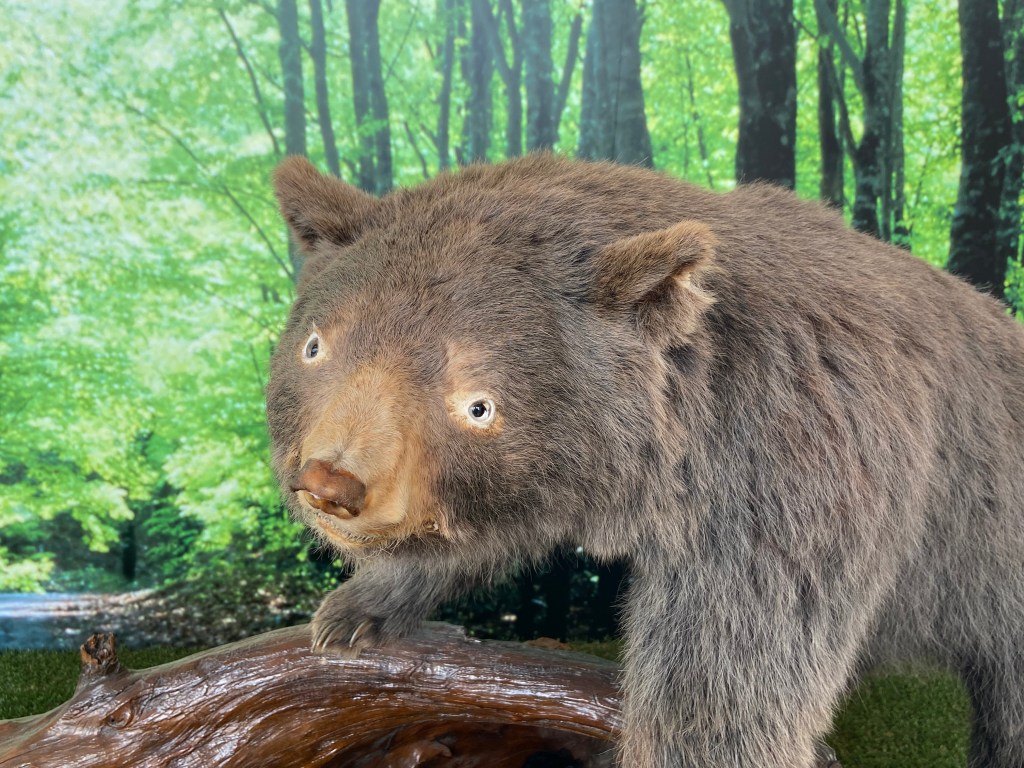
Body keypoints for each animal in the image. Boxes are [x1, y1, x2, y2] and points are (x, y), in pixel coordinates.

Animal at [266, 153, 1024, 768]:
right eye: (315, 346)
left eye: (478, 406)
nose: (332, 484)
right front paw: (360, 608)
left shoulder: (792, 482)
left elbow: (726, 690)